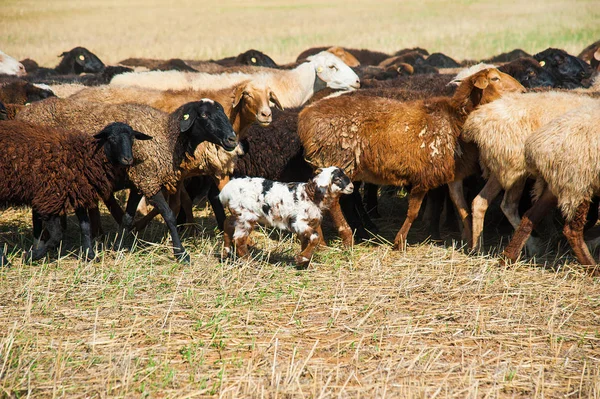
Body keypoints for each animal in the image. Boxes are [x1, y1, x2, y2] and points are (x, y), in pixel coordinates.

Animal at [219, 167, 352, 268]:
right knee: (239, 239)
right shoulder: (298, 222)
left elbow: (306, 242)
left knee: (227, 223)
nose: (352, 187)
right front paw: (302, 258)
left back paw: (226, 251)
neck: (310, 196)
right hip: (246, 217)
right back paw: (250, 262)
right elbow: (315, 237)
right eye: (337, 179)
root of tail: (227, 190)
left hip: (238, 215)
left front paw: (303, 262)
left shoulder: (307, 225)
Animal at [298, 69, 524, 250]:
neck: (455, 119)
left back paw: (320, 242)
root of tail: (305, 116)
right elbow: (413, 212)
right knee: (333, 202)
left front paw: (469, 242)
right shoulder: (424, 174)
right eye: (495, 78)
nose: (523, 91)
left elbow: (462, 208)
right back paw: (346, 238)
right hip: (337, 159)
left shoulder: (452, 175)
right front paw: (399, 242)